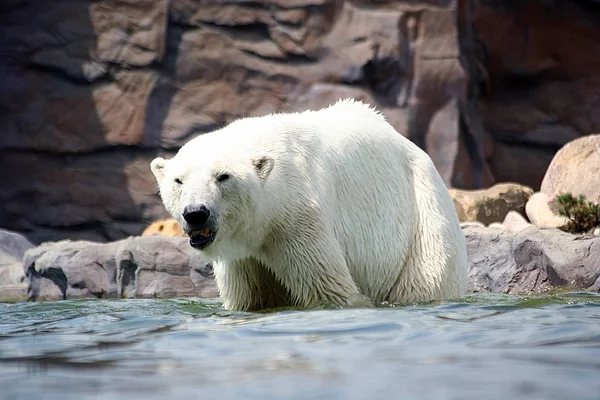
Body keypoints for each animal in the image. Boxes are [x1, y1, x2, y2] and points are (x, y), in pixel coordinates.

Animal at [150, 98, 468, 310]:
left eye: (223, 176)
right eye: (179, 180)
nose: (196, 214)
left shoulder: (298, 217)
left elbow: (330, 289)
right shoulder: (244, 255)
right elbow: (250, 298)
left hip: (423, 214)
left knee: (425, 278)